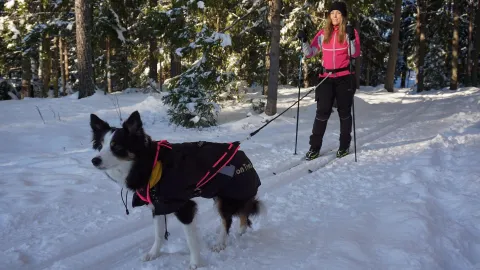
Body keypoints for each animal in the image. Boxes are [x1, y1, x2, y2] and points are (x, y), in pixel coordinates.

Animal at [88, 109, 264, 268]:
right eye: (100, 146)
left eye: (116, 147)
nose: (94, 160)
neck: (149, 165)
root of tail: (242, 153)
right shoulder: (158, 206)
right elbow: (158, 234)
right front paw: (154, 254)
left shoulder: (184, 206)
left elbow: (191, 239)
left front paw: (195, 263)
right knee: (242, 212)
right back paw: (241, 229)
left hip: (227, 197)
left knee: (227, 219)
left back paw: (221, 243)